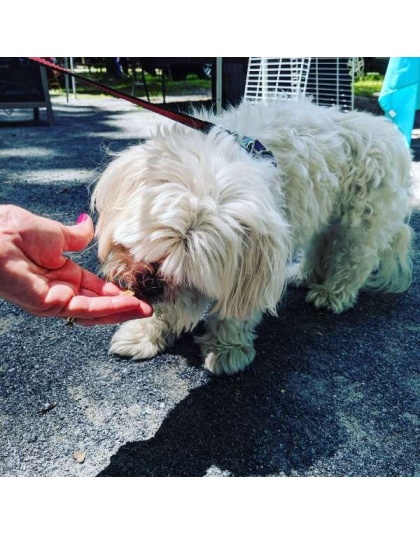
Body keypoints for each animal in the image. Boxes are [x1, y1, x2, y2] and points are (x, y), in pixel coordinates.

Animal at [92, 99, 414, 376]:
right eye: (145, 249)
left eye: (191, 275)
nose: (150, 284)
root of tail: (385, 131)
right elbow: (161, 313)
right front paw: (142, 335)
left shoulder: (251, 264)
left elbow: (234, 312)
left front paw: (225, 350)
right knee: (318, 245)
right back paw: (303, 275)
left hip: (360, 223)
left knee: (354, 260)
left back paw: (332, 293)